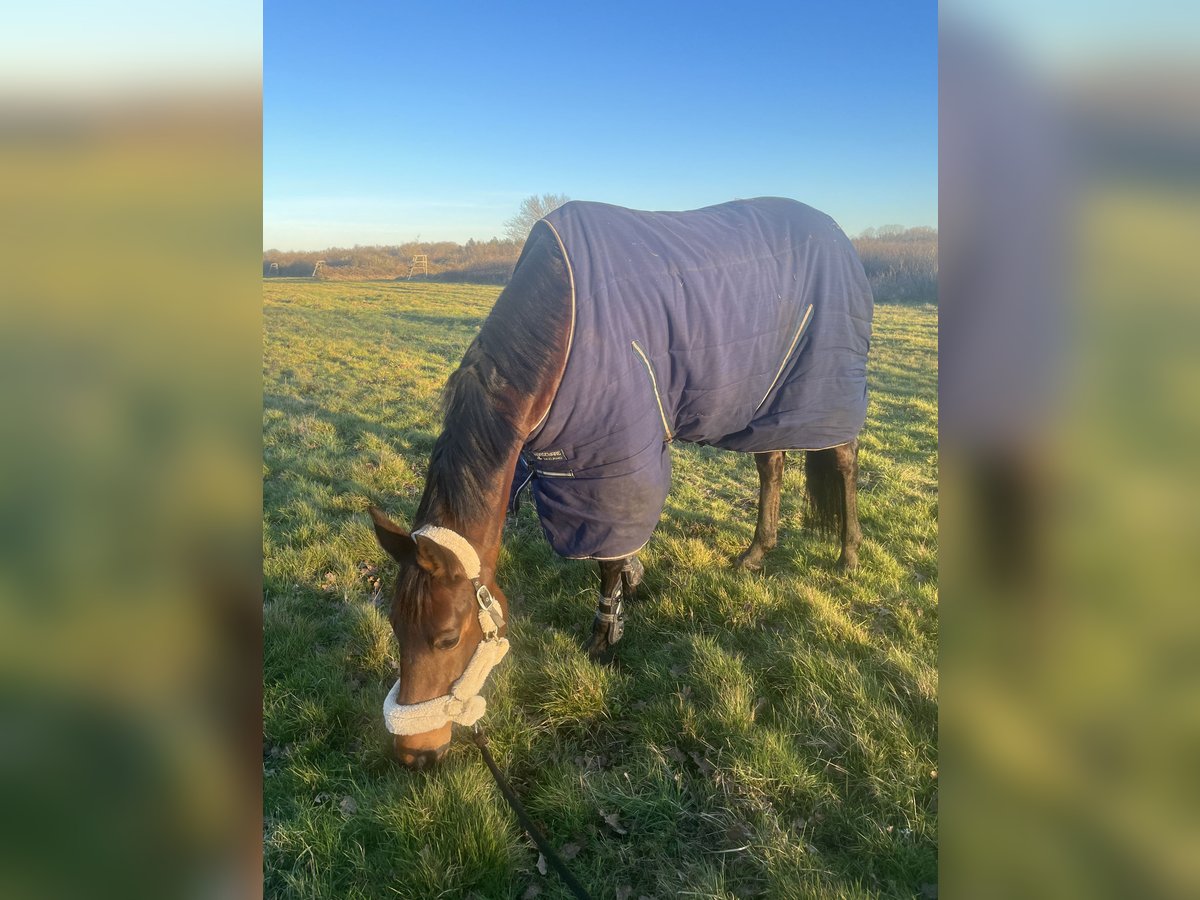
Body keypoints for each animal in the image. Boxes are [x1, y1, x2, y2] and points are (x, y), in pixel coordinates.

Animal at [367, 196, 873, 768]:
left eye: (448, 639)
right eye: (394, 625)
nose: (414, 754)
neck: (563, 328)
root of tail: (838, 235)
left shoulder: (609, 463)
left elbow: (605, 557)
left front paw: (605, 633)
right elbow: (617, 547)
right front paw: (635, 576)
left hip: (822, 392)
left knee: (844, 461)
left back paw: (848, 554)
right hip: (769, 406)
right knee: (773, 465)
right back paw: (756, 553)